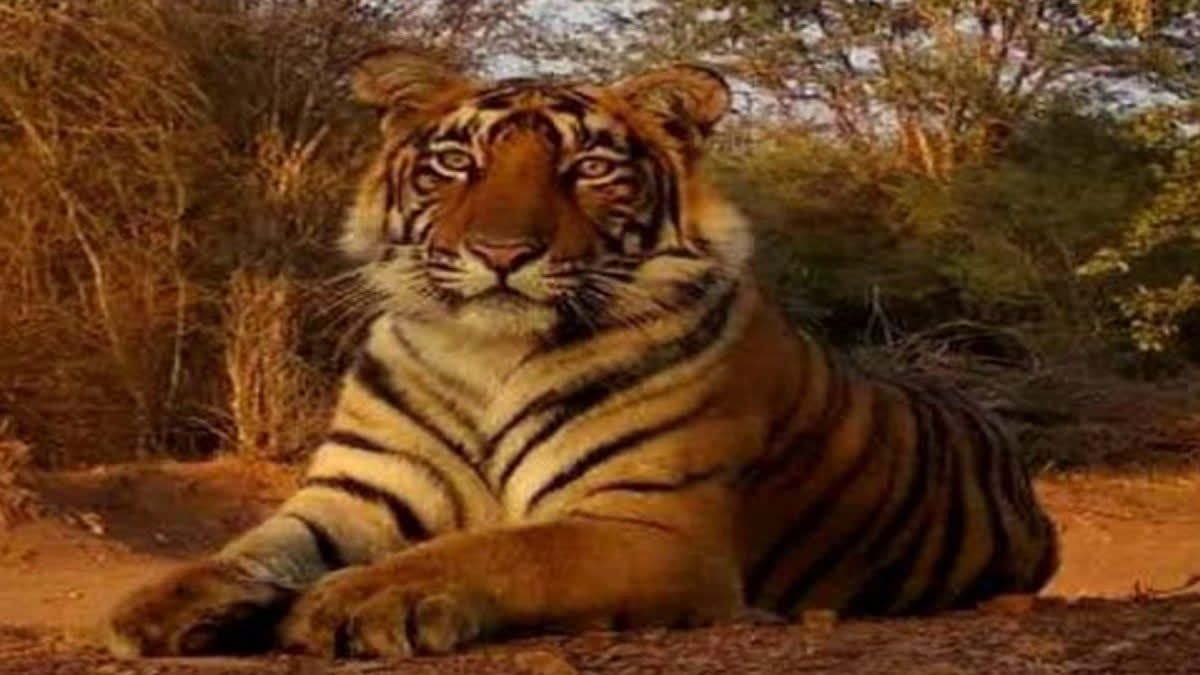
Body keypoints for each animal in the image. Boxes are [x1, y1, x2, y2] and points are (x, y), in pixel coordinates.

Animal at [103, 48, 1059, 659]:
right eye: (455, 164)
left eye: (589, 170)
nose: (501, 251)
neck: (485, 354)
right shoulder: (357, 492)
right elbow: (255, 546)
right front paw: (160, 605)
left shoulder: (653, 524)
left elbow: (504, 549)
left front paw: (357, 597)